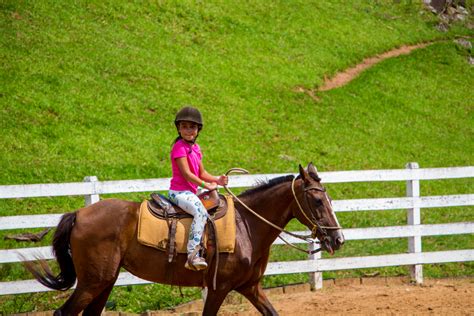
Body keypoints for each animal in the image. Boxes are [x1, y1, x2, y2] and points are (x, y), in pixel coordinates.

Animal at [25, 164, 344, 314]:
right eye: (317, 201)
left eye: (328, 198)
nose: (338, 239)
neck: (247, 226)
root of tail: (79, 213)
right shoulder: (218, 288)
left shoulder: (251, 288)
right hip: (92, 282)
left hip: (104, 281)